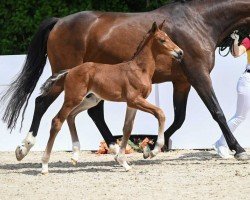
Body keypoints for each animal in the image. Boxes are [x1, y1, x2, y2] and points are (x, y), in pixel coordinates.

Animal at [40, 21, 182, 172]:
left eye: (168, 37)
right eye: (162, 40)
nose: (180, 52)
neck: (139, 69)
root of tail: (70, 70)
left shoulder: (132, 104)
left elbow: (127, 128)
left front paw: (123, 162)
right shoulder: (135, 99)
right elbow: (160, 113)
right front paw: (153, 151)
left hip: (90, 100)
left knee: (71, 116)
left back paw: (75, 156)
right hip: (73, 98)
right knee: (57, 121)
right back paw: (44, 165)